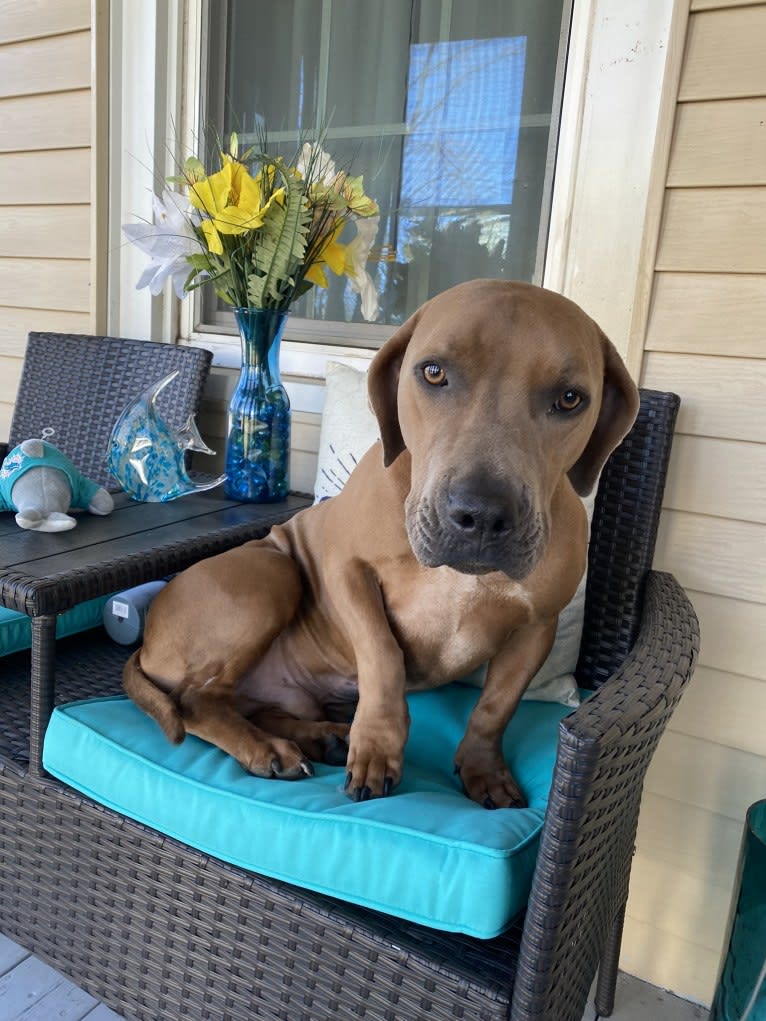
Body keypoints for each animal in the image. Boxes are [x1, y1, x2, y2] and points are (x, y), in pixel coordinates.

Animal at [124, 279, 641, 804]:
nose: (481, 515)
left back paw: (321, 737)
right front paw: (376, 746)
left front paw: (483, 765)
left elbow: (496, 706)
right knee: (195, 701)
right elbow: (383, 656)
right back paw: (267, 749)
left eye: (571, 399)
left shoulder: (537, 626)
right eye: (433, 372)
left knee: (252, 706)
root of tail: (147, 643)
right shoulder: (347, 572)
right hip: (270, 574)